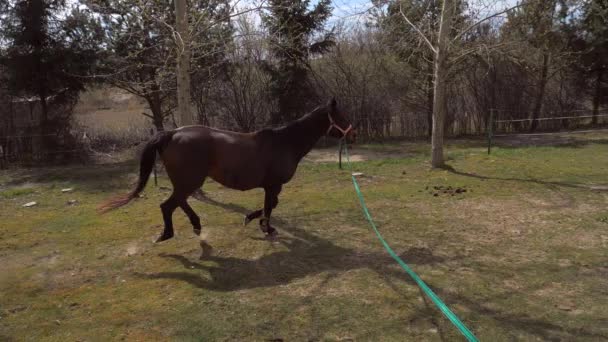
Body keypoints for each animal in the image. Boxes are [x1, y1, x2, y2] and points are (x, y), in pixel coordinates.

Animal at [100, 98, 356, 243]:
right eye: (342, 116)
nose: (353, 135)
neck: (286, 142)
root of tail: (171, 134)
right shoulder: (273, 185)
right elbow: (270, 206)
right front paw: (266, 227)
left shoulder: (270, 186)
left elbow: (269, 205)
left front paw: (254, 221)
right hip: (190, 181)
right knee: (169, 205)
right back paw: (170, 233)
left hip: (187, 182)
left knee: (178, 202)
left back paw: (194, 226)